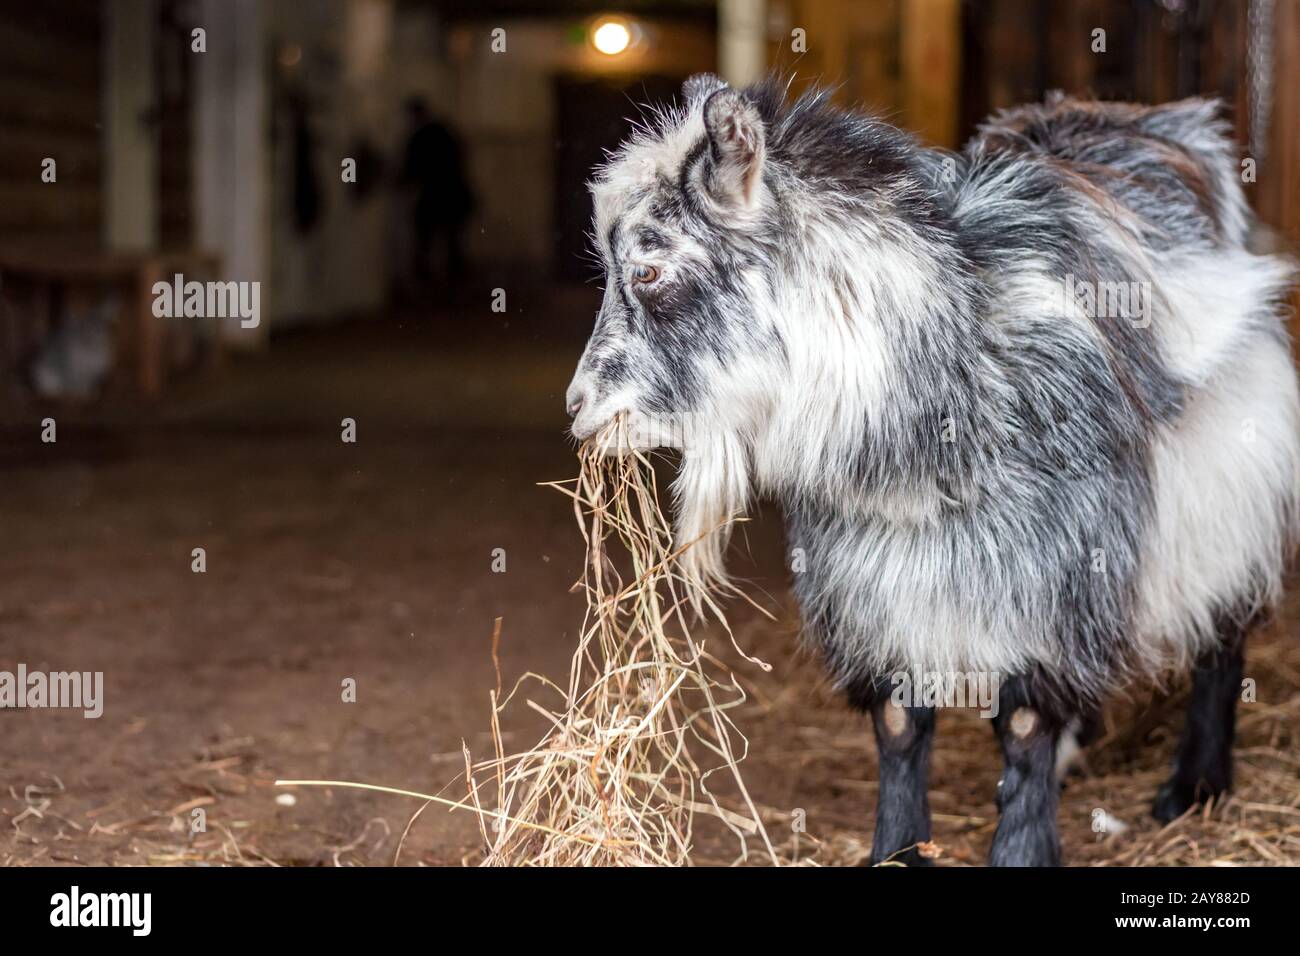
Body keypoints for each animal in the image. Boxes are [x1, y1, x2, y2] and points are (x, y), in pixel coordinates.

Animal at [564, 74, 1300, 868]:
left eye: (647, 269)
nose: (578, 406)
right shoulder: (872, 583)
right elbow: (898, 721)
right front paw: (897, 850)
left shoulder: (1057, 570)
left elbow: (1025, 724)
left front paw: (1022, 851)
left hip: (1231, 483)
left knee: (1222, 632)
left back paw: (1197, 784)